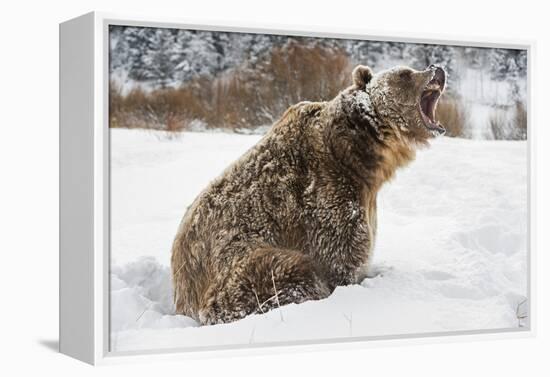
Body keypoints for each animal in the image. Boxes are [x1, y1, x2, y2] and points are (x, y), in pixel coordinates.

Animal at [171, 64, 448, 324]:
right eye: (405, 74)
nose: (437, 69)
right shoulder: (325, 193)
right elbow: (341, 256)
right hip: (235, 264)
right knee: (289, 271)